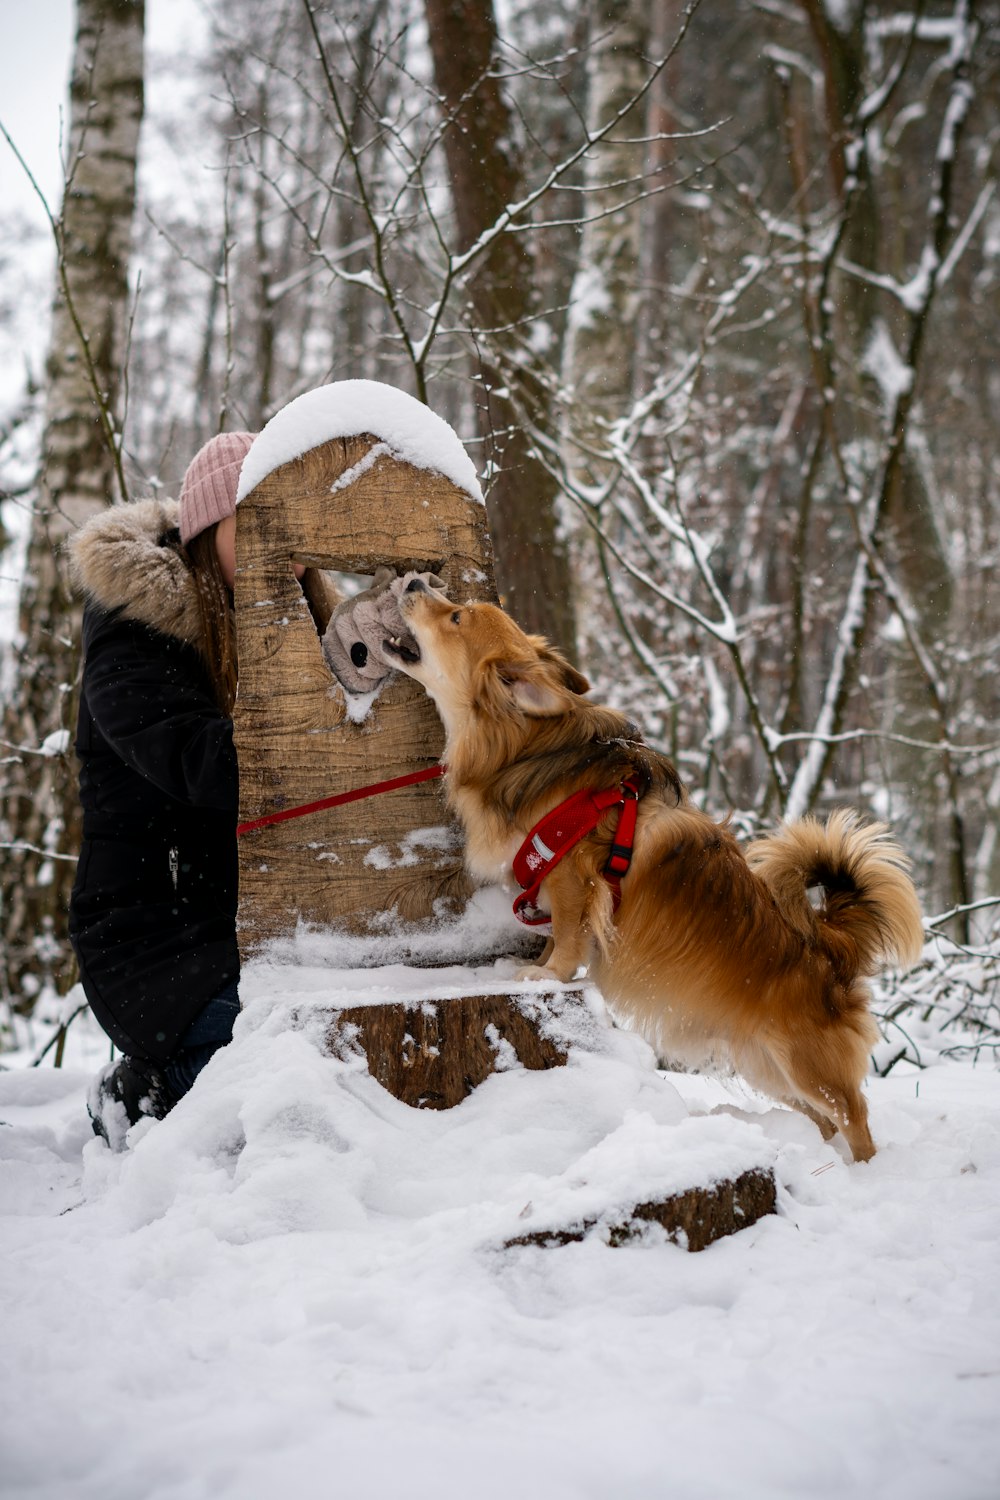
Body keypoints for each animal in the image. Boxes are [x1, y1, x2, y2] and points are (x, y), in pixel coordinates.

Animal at [389, 582, 923, 1158]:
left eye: (456, 616)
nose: (414, 582)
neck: (525, 747)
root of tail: (830, 949)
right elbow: (555, 934)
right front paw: (536, 966)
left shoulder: (575, 876)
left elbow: (569, 936)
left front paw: (550, 975)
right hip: (767, 1065)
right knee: (821, 1121)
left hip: (806, 1066)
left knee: (854, 1115)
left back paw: (863, 1169)